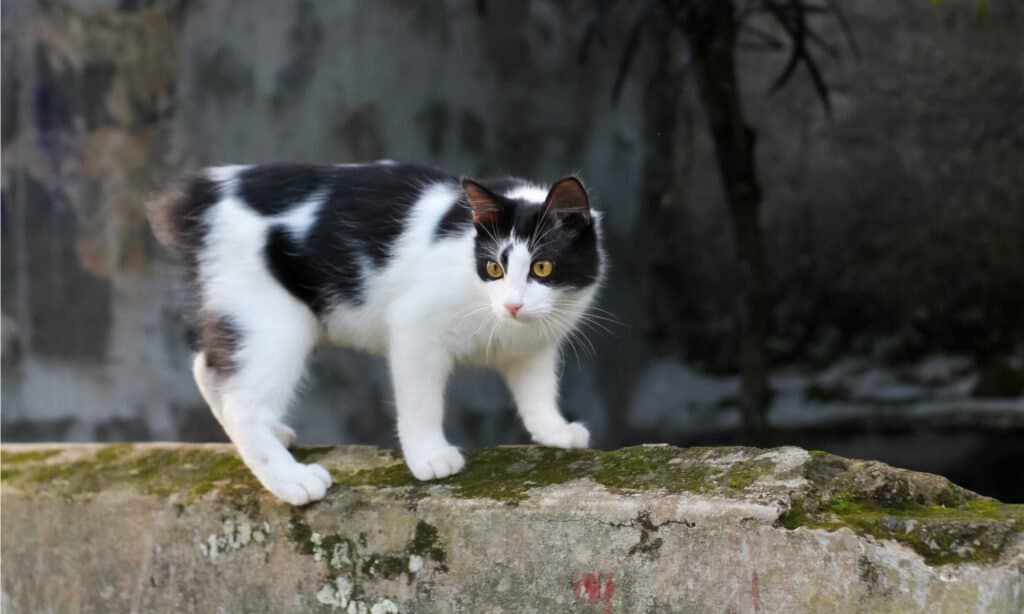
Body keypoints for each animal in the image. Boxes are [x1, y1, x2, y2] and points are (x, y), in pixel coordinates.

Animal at [148, 161, 602, 503]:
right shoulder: (414, 326)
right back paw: (290, 479)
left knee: (207, 368)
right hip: (273, 322)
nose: (512, 304)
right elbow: (420, 402)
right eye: (494, 268)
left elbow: (537, 389)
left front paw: (554, 430)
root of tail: (209, 190)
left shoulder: (535, 343)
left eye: (542, 267)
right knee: (242, 403)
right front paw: (429, 456)